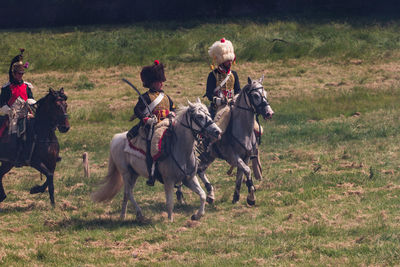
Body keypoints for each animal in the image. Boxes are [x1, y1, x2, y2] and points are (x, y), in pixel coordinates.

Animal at [91, 99, 222, 223]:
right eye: (199, 116)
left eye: (209, 113)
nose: (218, 131)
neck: (180, 149)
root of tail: (116, 138)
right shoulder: (169, 180)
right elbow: (170, 202)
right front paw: (170, 220)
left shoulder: (189, 179)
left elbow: (202, 195)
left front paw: (197, 215)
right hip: (126, 173)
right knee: (128, 192)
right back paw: (139, 214)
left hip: (134, 174)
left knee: (127, 193)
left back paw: (124, 216)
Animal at [195, 76, 274, 206]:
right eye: (256, 95)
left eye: (265, 93)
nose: (269, 113)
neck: (242, 130)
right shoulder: (233, 157)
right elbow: (247, 171)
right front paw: (251, 197)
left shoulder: (246, 157)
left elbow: (240, 176)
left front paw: (236, 197)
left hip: (209, 155)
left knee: (200, 170)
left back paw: (210, 195)